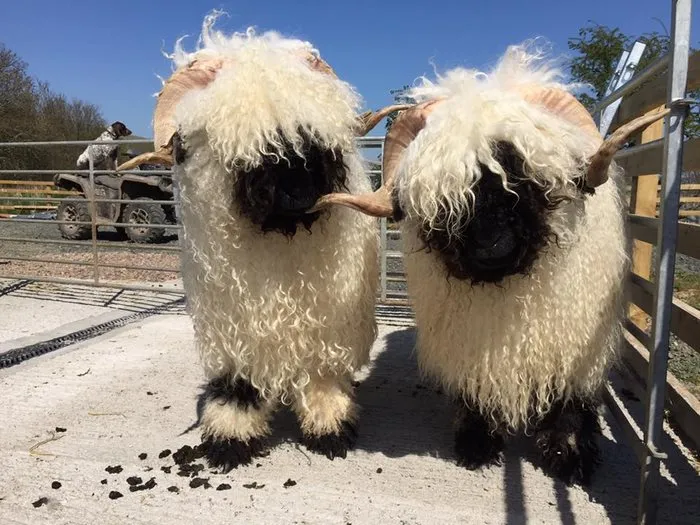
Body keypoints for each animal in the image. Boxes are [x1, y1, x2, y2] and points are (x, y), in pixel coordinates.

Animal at [120, 12, 407, 471]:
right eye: (244, 145)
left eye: (313, 136)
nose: (299, 193)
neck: (281, 240)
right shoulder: (234, 326)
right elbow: (239, 383)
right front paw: (230, 438)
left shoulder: (326, 325)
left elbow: (322, 378)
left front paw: (330, 428)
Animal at [312, 42, 669, 485]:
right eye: (446, 195)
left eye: (523, 173)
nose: (490, 247)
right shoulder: (471, 341)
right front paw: (477, 443)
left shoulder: (576, 339)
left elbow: (569, 399)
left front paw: (569, 455)